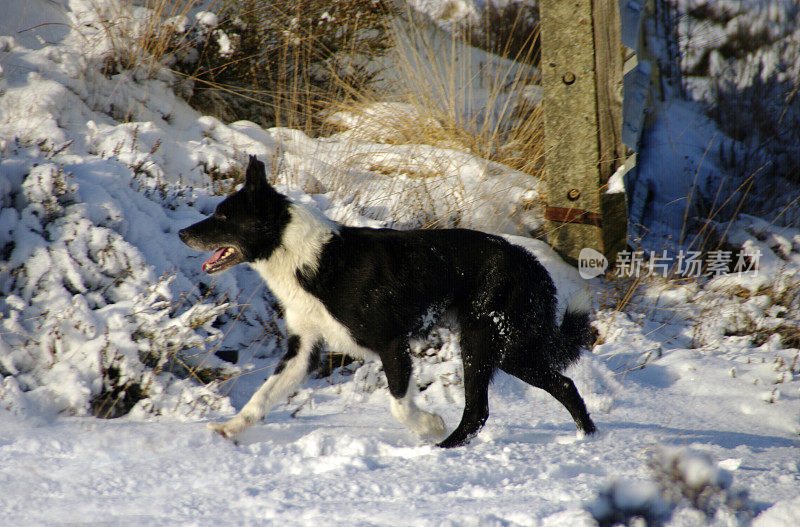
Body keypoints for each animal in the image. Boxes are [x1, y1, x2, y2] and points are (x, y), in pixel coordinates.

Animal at [180, 155, 592, 448]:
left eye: (223, 216)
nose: (183, 233)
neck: (304, 257)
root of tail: (534, 265)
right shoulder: (303, 351)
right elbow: (261, 398)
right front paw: (230, 428)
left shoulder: (393, 344)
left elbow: (398, 404)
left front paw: (428, 424)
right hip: (502, 349)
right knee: (555, 388)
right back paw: (587, 437)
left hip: (487, 343)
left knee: (489, 407)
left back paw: (444, 446)